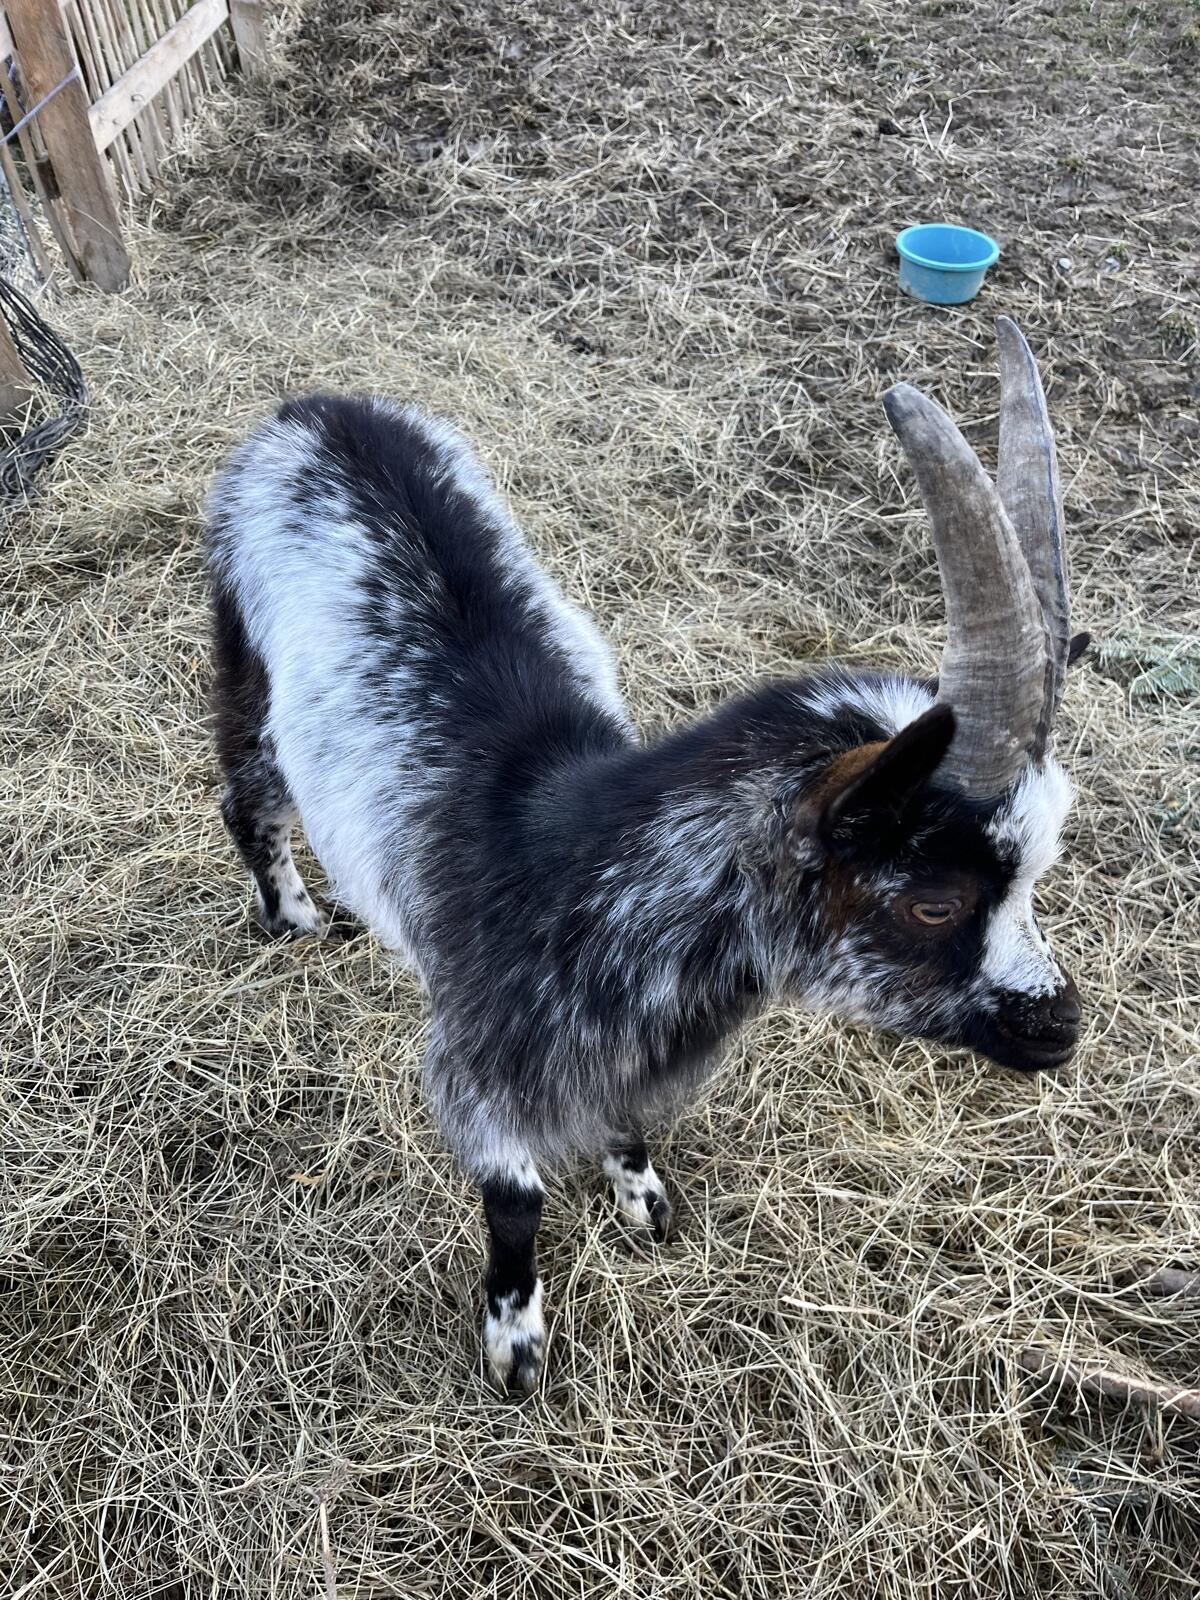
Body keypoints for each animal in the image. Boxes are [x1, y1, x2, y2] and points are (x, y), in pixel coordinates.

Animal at [206, 318, 1087, 1394]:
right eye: (933, 900)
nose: (1061, 1026)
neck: (571, 864)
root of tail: (312, 410)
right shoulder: (476, 1069)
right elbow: (515, 1204)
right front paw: (515, 1341)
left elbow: (626, 1122)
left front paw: (642, 1199)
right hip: (242, 651)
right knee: (245, 791)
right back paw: (288, 915)